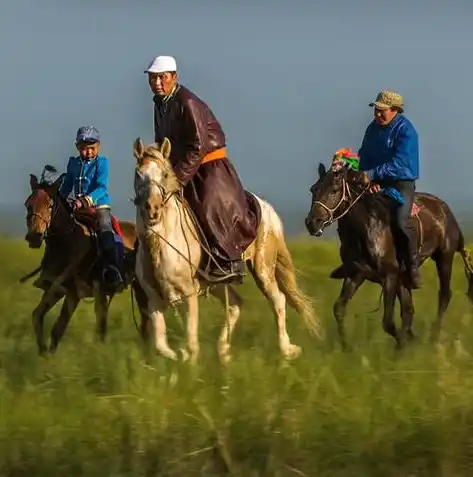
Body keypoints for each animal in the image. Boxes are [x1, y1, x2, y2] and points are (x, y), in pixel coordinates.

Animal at [21, 167, 148, 354]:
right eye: (28, 204)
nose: (34, 236)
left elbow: (57, 328)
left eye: (50, 205)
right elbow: (37, 316)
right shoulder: (58, 290)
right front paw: (43, 352)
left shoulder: (73, 293)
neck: (67, 242)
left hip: (133, 287)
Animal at [132, 138, 320, 364]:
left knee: (278, 300)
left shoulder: (189, 295)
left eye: (165, 174)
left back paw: (286, 351)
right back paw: (223, 351)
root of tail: (267, 208)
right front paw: (179, 356)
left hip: (263, 269)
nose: (152, 209)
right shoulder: (154, 301)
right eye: (138, 174)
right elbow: (161, 346)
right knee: (235, 304)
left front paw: (189, 366)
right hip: (216, 283)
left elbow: (192, 343)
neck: (161, 245)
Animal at [304, 160, 470, 350]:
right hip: (405, 277)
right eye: (313, 189)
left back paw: (433, 339)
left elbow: (388, 322)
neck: (368, 228)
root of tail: (445, 209)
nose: (312, 222)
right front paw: (347, 348)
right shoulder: (357, 274)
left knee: (443, 296)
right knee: (409, 308)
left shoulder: (390, 276)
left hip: (444, 258)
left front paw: (403, 345)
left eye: (334, 189)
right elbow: (339, 309)